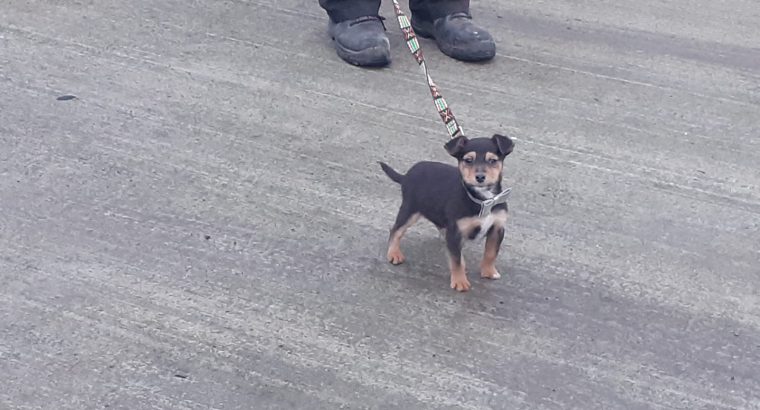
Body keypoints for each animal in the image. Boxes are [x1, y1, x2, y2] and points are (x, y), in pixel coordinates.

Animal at [380, 135, 516, 292]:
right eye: (468, 160)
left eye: (492, 160)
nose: (480, 177)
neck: (484, 200)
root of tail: (405, 176)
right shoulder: (456, 232)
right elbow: (456, 260)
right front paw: (460, 281)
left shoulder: (497, 228)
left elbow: (491, 253)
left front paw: (488, 271)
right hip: (410, 210)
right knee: (395, 230)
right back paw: (394, 253)